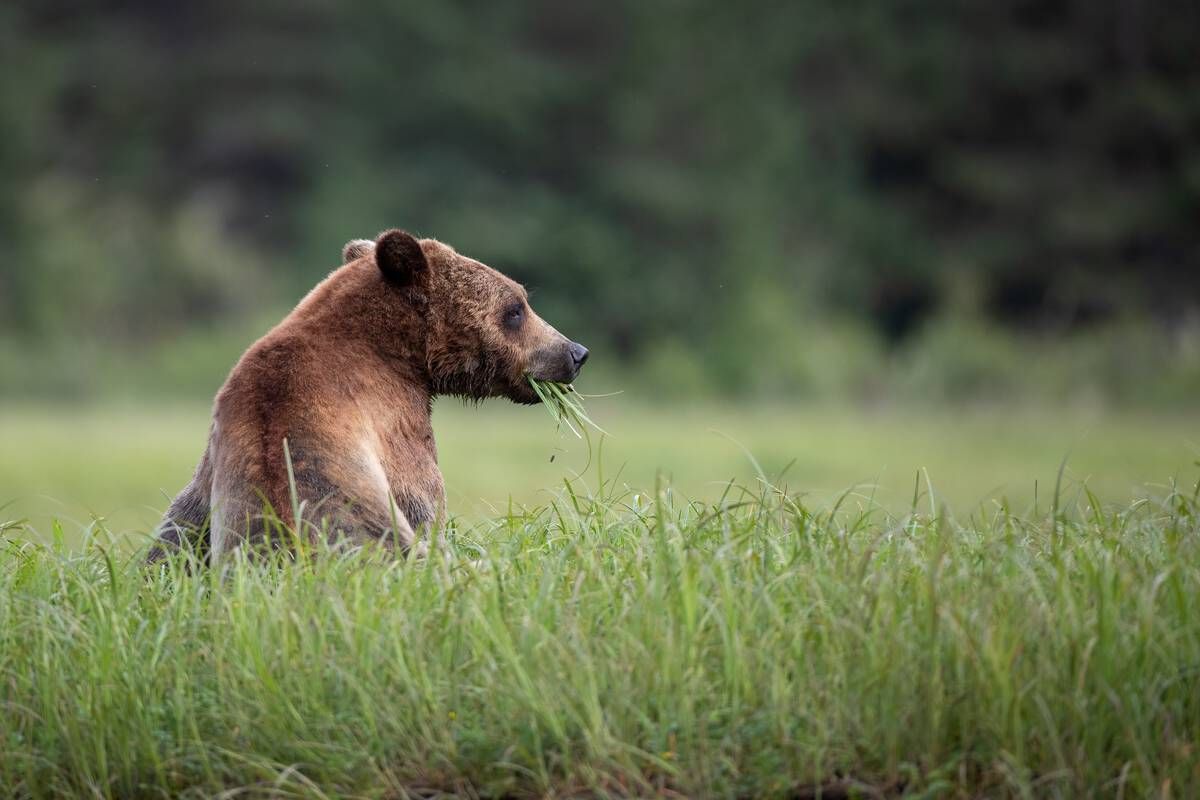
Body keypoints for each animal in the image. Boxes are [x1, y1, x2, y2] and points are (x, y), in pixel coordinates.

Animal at [147, 229, 589, 561]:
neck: (398, 353)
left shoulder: (217, 452)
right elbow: (427, 506)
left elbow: (176, 533)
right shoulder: (394, 426)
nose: (575, 352)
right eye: (515, 308)